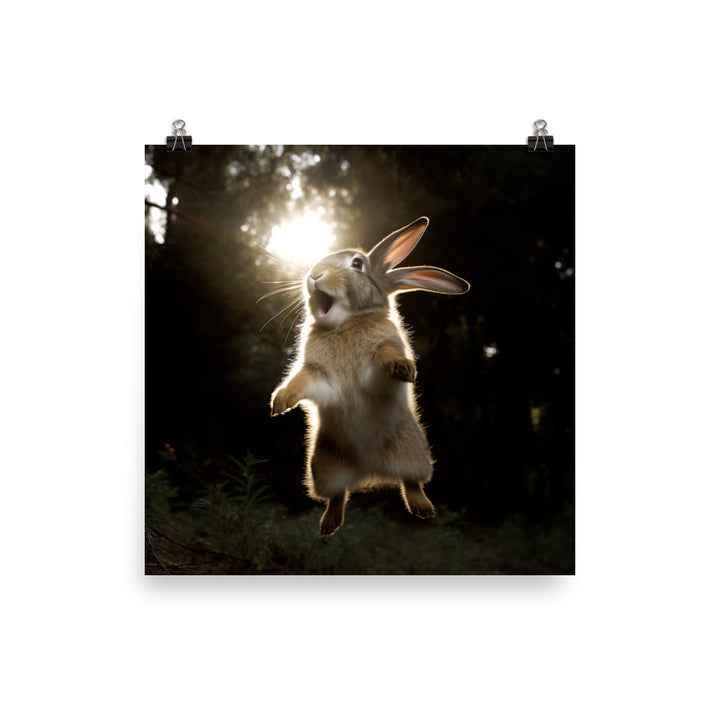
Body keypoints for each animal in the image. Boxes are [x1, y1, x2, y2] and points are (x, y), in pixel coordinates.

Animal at [270, 216, 470, 536]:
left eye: (357, 263)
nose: (314, 275)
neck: (347, 322)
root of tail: (370, 471)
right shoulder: (318, 374)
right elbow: (302, 380)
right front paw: (280, 402)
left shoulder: (380, 355)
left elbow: (386, 355)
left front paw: (403, 368)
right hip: (325, 466)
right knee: (338, 495)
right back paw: (329, 525)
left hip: (413, 452)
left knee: (411, 482)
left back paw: (423, 509)